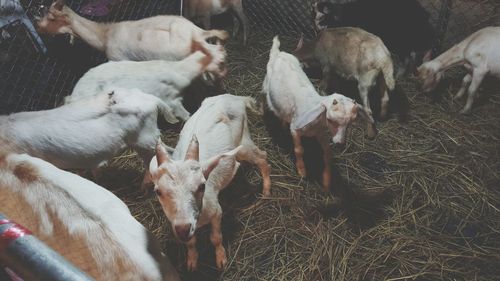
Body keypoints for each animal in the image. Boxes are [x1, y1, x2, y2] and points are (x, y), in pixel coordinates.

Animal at [148, 93, 272, 270]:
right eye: (158, 191)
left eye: (202, 186)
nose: (183, 229)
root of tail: (234, 97)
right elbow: (191, 242)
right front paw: (192, 261)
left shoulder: (216, 211)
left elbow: (216, 238)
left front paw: (221, 259)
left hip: (243, 141)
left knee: (262, 157)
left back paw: (266, 190)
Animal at [264, 35, 366, 190]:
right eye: (330, 120)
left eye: (349, 124)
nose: (340, 143)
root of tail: (279, 53)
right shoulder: (296, 130)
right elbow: (299, 149)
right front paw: (302, 171)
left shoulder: (321, 133)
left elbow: (327, 154)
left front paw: (326, 181)